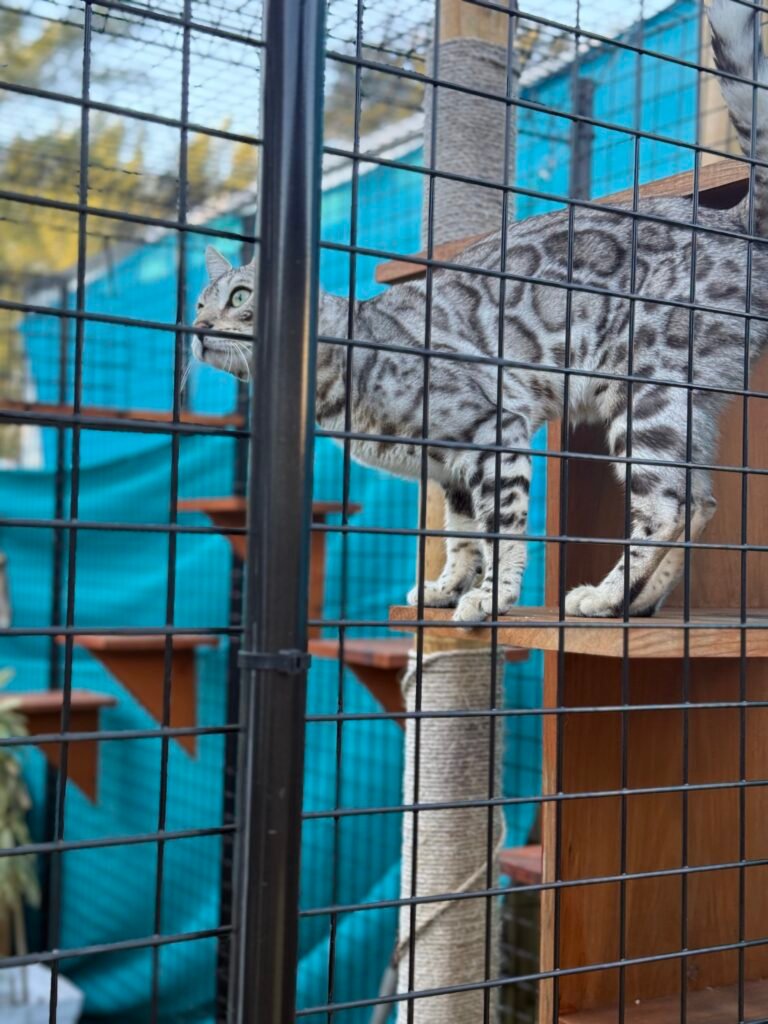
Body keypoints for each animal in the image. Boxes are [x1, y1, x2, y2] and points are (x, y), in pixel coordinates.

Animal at [192, 0, 767, 623]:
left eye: (240, 297)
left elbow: (501, 530)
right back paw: (634, 604)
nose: (197, 329)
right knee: (701, 499)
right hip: (685, 407)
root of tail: (730, 219)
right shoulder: (453, 472)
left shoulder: (495, 431)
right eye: (198, 303)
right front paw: (446, 588)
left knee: (667, 505)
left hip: (645, 399)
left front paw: (492, 598)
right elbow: (460, 534)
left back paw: (606, 594)